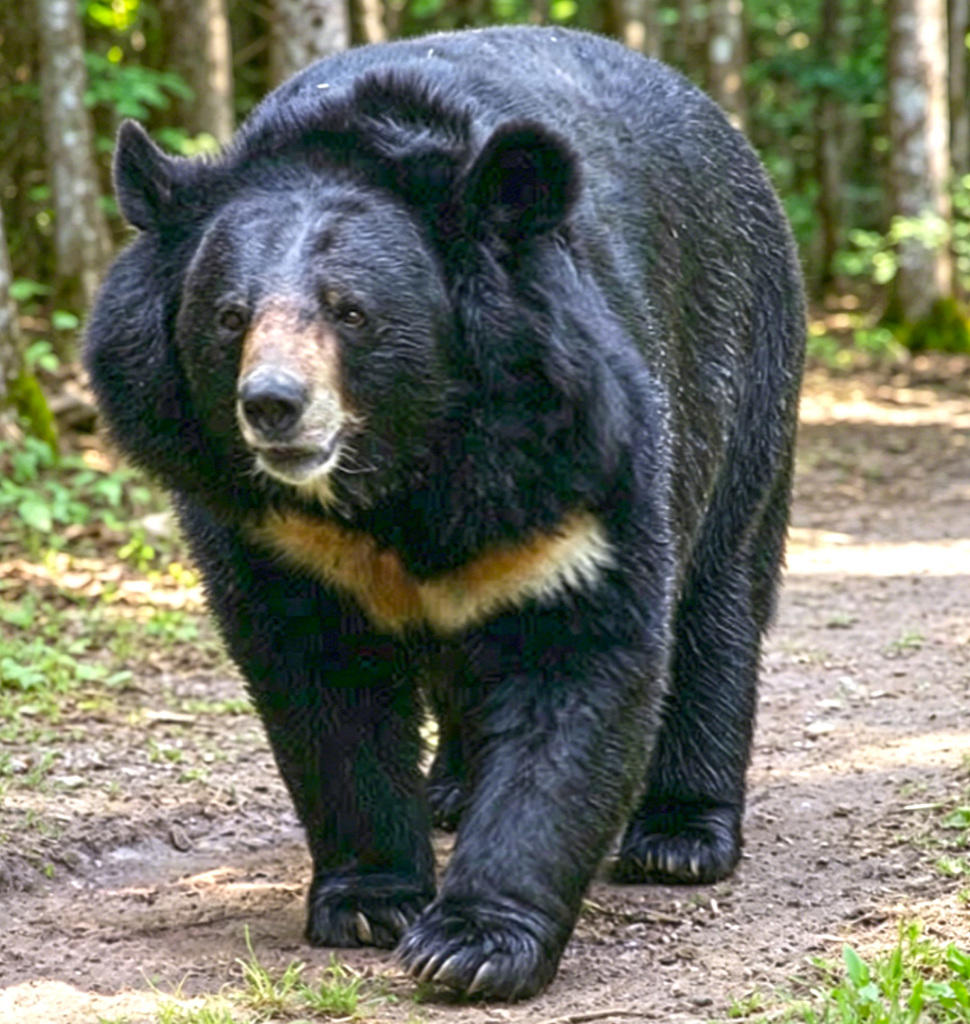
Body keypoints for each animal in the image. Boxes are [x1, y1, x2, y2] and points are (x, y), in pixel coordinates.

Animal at [85, 25, 805, 1001]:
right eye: (229, 317)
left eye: (351, 312)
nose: (273, 406)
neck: (406, 466)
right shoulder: (271, 533)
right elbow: (323, 692)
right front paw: (369, 902)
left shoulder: (576, 459)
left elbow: (580, 660)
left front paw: (472, 944)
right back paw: (453, 790)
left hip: (744, 366)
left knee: (719, 603)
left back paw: (681, 837)